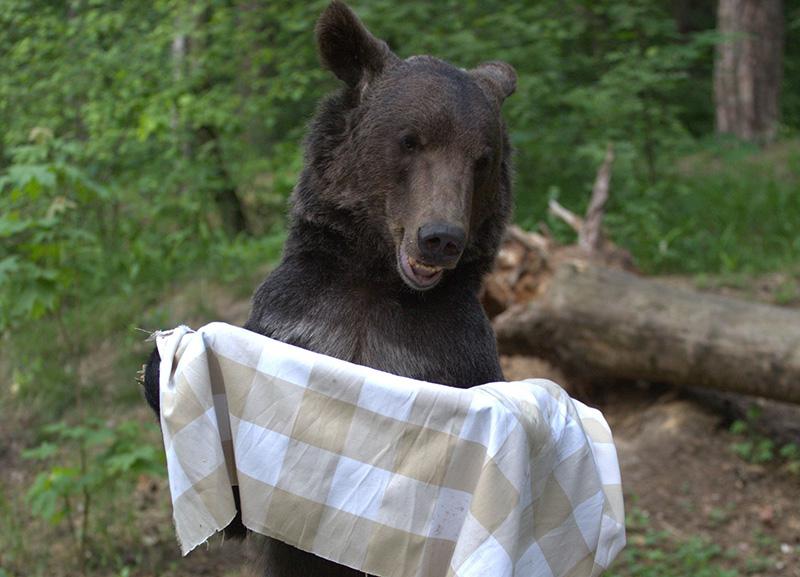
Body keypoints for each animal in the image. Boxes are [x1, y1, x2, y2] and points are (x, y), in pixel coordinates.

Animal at [143, 1, 516, 575]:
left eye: (482, 159)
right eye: (412, 140)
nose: (440, 238)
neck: (375, 280)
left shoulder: (451, 349)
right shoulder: (297, 312)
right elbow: (237, 511)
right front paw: (160, 367)